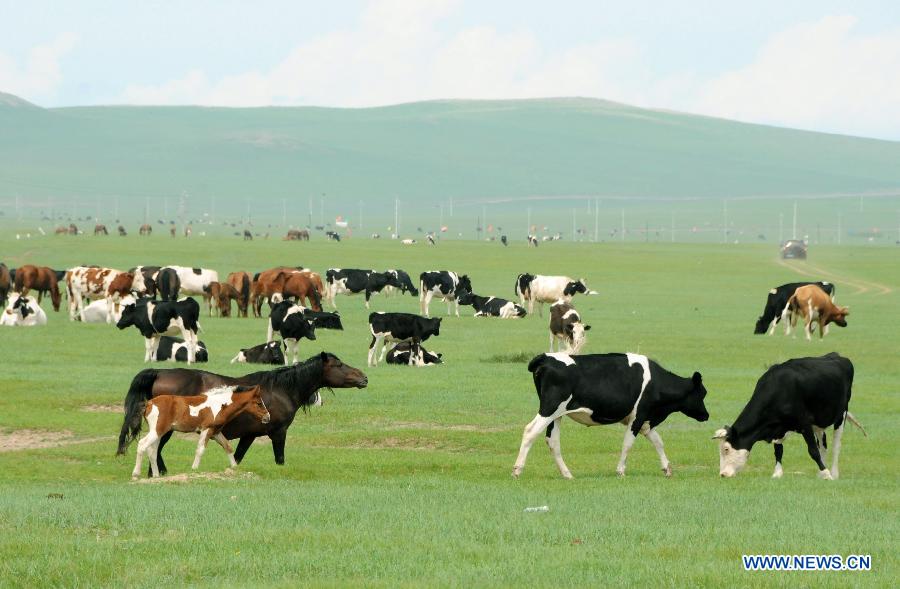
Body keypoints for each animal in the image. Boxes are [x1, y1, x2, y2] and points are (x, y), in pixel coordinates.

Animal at [131, 386, 270, 478]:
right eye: (259, 403)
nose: (267, 417)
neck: (219, 405)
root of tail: (149, 403)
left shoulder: (216, 432)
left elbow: (228, 447)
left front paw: (235, 468)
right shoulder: (206, 430)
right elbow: (200, 450)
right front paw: (194, 469)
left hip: (159, 433)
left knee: (152, 451)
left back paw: (156, 476)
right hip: (157, 431)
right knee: (142, 444)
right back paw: (136, 474)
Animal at [512, 350, 712, 478]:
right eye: (702, 393)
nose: (706, 415)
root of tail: (545, 357)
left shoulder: (645, 421)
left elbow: (658, 441)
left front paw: (667, 469)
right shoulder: (639, 416)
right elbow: (628, 444)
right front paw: (620, 471)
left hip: (556, 415)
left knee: (552, 440)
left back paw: (567, 474)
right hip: (550, 408)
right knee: (531, 431)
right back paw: (517, 470)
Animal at [712, 352, 864, 480]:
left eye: (726, 449)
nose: (723, 474)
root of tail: (836, 355)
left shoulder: (804, 423)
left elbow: (813, 450)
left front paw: (826, 474)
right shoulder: (779, 427)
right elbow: (778, 450)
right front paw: (777, 473)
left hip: (841, 414)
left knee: (836, 445)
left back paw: (833, 472)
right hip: (818, 422)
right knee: (823, 445)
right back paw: (820, 472)